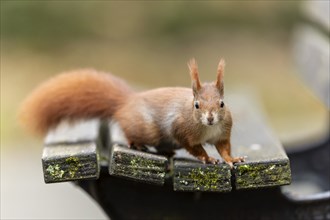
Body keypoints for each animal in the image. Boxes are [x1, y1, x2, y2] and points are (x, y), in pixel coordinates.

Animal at [18, 59, 245, 166]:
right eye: (196, 105)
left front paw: (232, 159)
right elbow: (194, 147)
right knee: (130, 133)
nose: (210, 118)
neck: (208, 129)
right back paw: (137, 144)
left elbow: (224, 148)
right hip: (146, 128)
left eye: (222, 104)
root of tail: (126, 103)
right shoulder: (181, 129)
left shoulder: (222, 134)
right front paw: (207, 158)